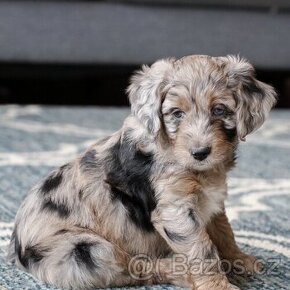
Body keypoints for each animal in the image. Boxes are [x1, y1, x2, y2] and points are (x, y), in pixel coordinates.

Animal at [7, 55, 276, 290]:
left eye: (219, 110)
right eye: (177, 114)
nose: (200, 153)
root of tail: (15, 248)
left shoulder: (213, 200)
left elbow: (223, 230)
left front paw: (239, 260)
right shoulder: (175, 211)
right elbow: (202, 250)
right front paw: (219, 285)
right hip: (83, 251)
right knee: (136, 268)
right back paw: (179, 271)